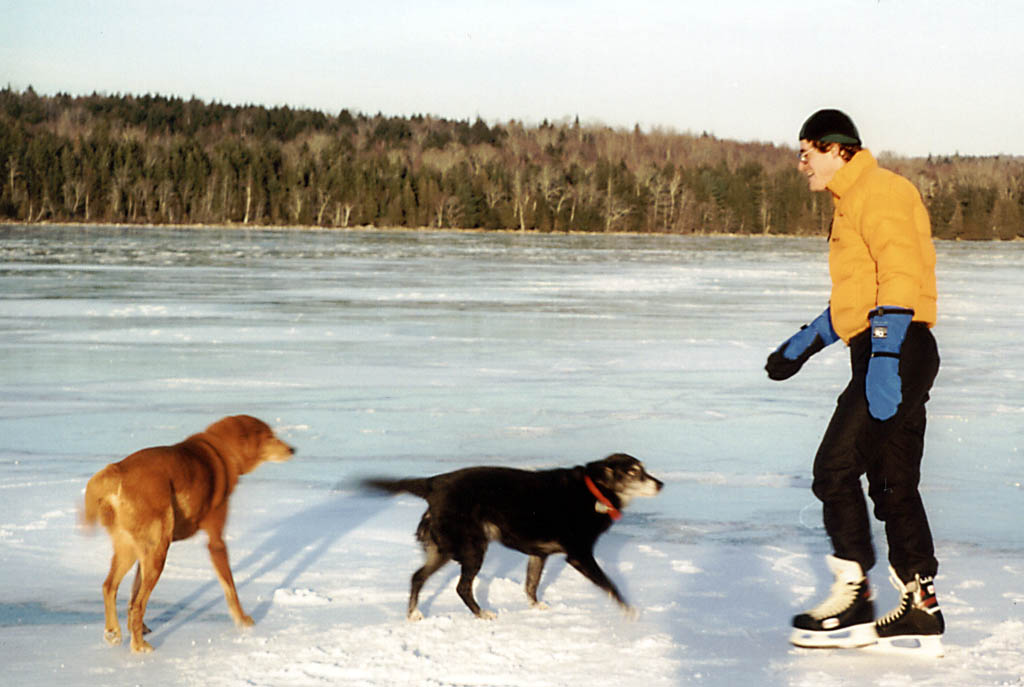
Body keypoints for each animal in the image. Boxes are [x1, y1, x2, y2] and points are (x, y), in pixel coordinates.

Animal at [82, 415, 294, 651]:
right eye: (269, 436)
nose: (292, 449)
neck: (222, 450)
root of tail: (117, 470)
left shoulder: (142, 553)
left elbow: (132, 592)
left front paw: (136, 627)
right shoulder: (216, 541)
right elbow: (230, 587)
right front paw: (242, 619)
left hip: (131, 550)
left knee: (109, 586)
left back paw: (114, 632)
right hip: (158, 551)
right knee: (137, 603)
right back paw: (139, 647)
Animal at [364, 454, 659, 622]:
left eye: (644, 469)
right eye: (634, 472)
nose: (660, 484)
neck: (594, 491)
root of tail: (433, 483)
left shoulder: (539, 554)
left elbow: (531, 585)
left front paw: (536, 607)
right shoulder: (579, 555)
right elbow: (609, 584)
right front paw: (628, 610)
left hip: (443, 549)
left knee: (417, 577)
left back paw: (414, 614)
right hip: (472, 548)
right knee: (462, 587)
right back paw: (481, 614)